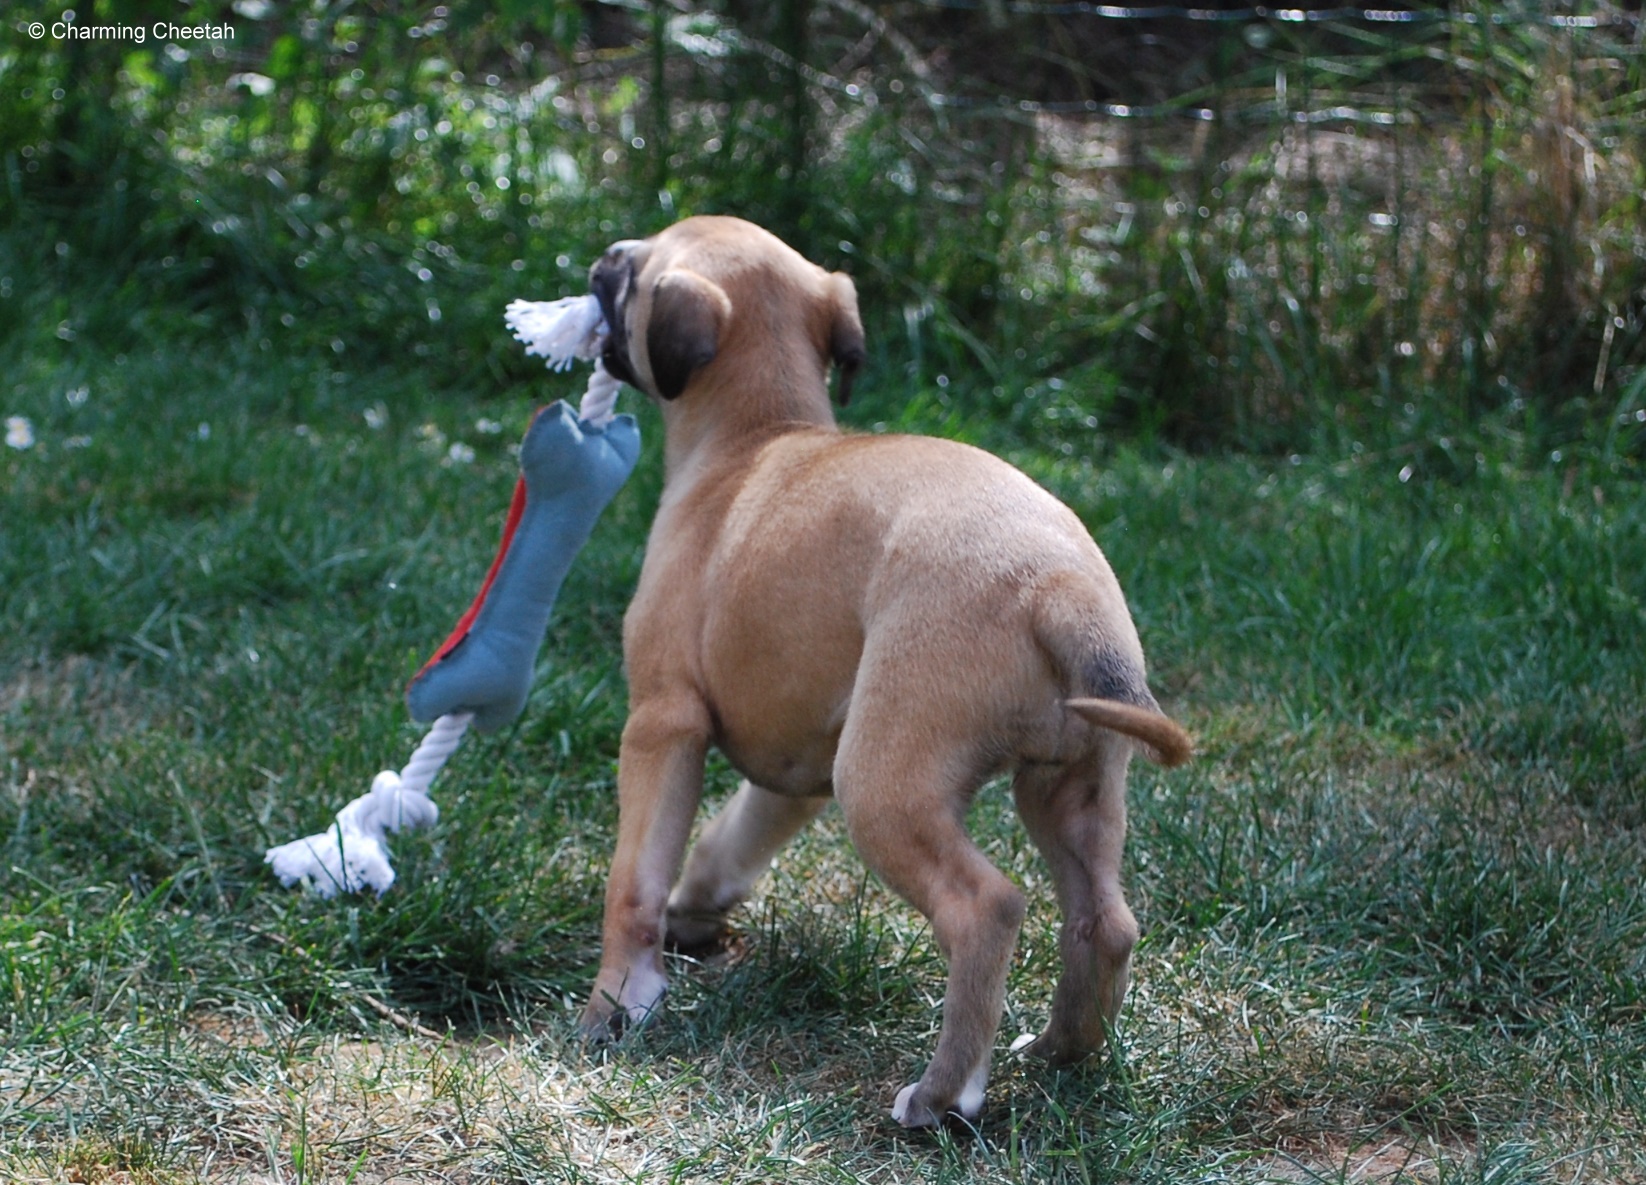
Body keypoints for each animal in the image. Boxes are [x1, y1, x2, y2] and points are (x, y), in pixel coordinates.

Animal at [576, 215, 1185, 1132]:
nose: (602, 259)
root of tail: (1058, 586)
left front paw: (615, 1003)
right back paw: (1058, 1050)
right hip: (1069, 784)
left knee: (986, 906)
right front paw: (693, 910)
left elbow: (632, 881)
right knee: (1105, 920)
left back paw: (942, 1095)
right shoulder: (797, 764)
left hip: (883, 784)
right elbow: (727, 838)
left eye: (634, 274)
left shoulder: (662, 722)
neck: (756, 438)